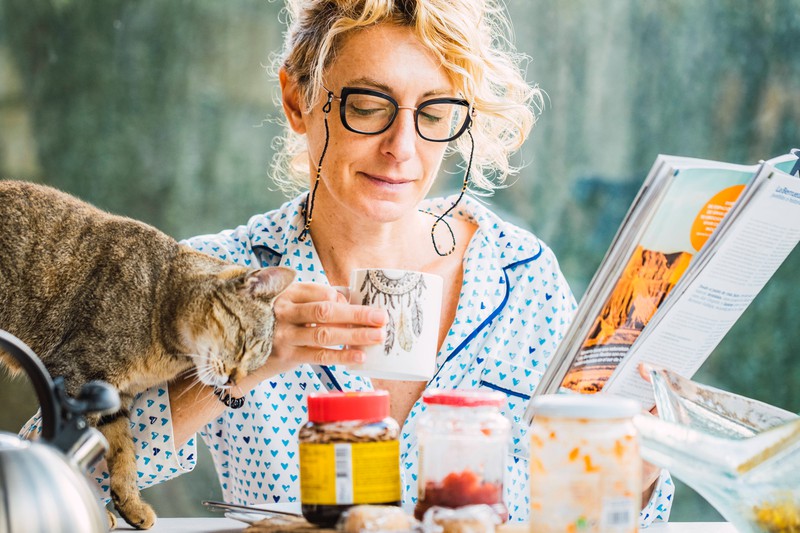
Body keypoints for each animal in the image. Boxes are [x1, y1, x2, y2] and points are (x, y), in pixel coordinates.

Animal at [0, 181, 296, 528]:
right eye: (245, 344)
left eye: (255, 367)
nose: (235, 380)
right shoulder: (77, 375)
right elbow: (77, 444)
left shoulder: (115, 397)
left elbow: (122, 452)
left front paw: (129, 504)